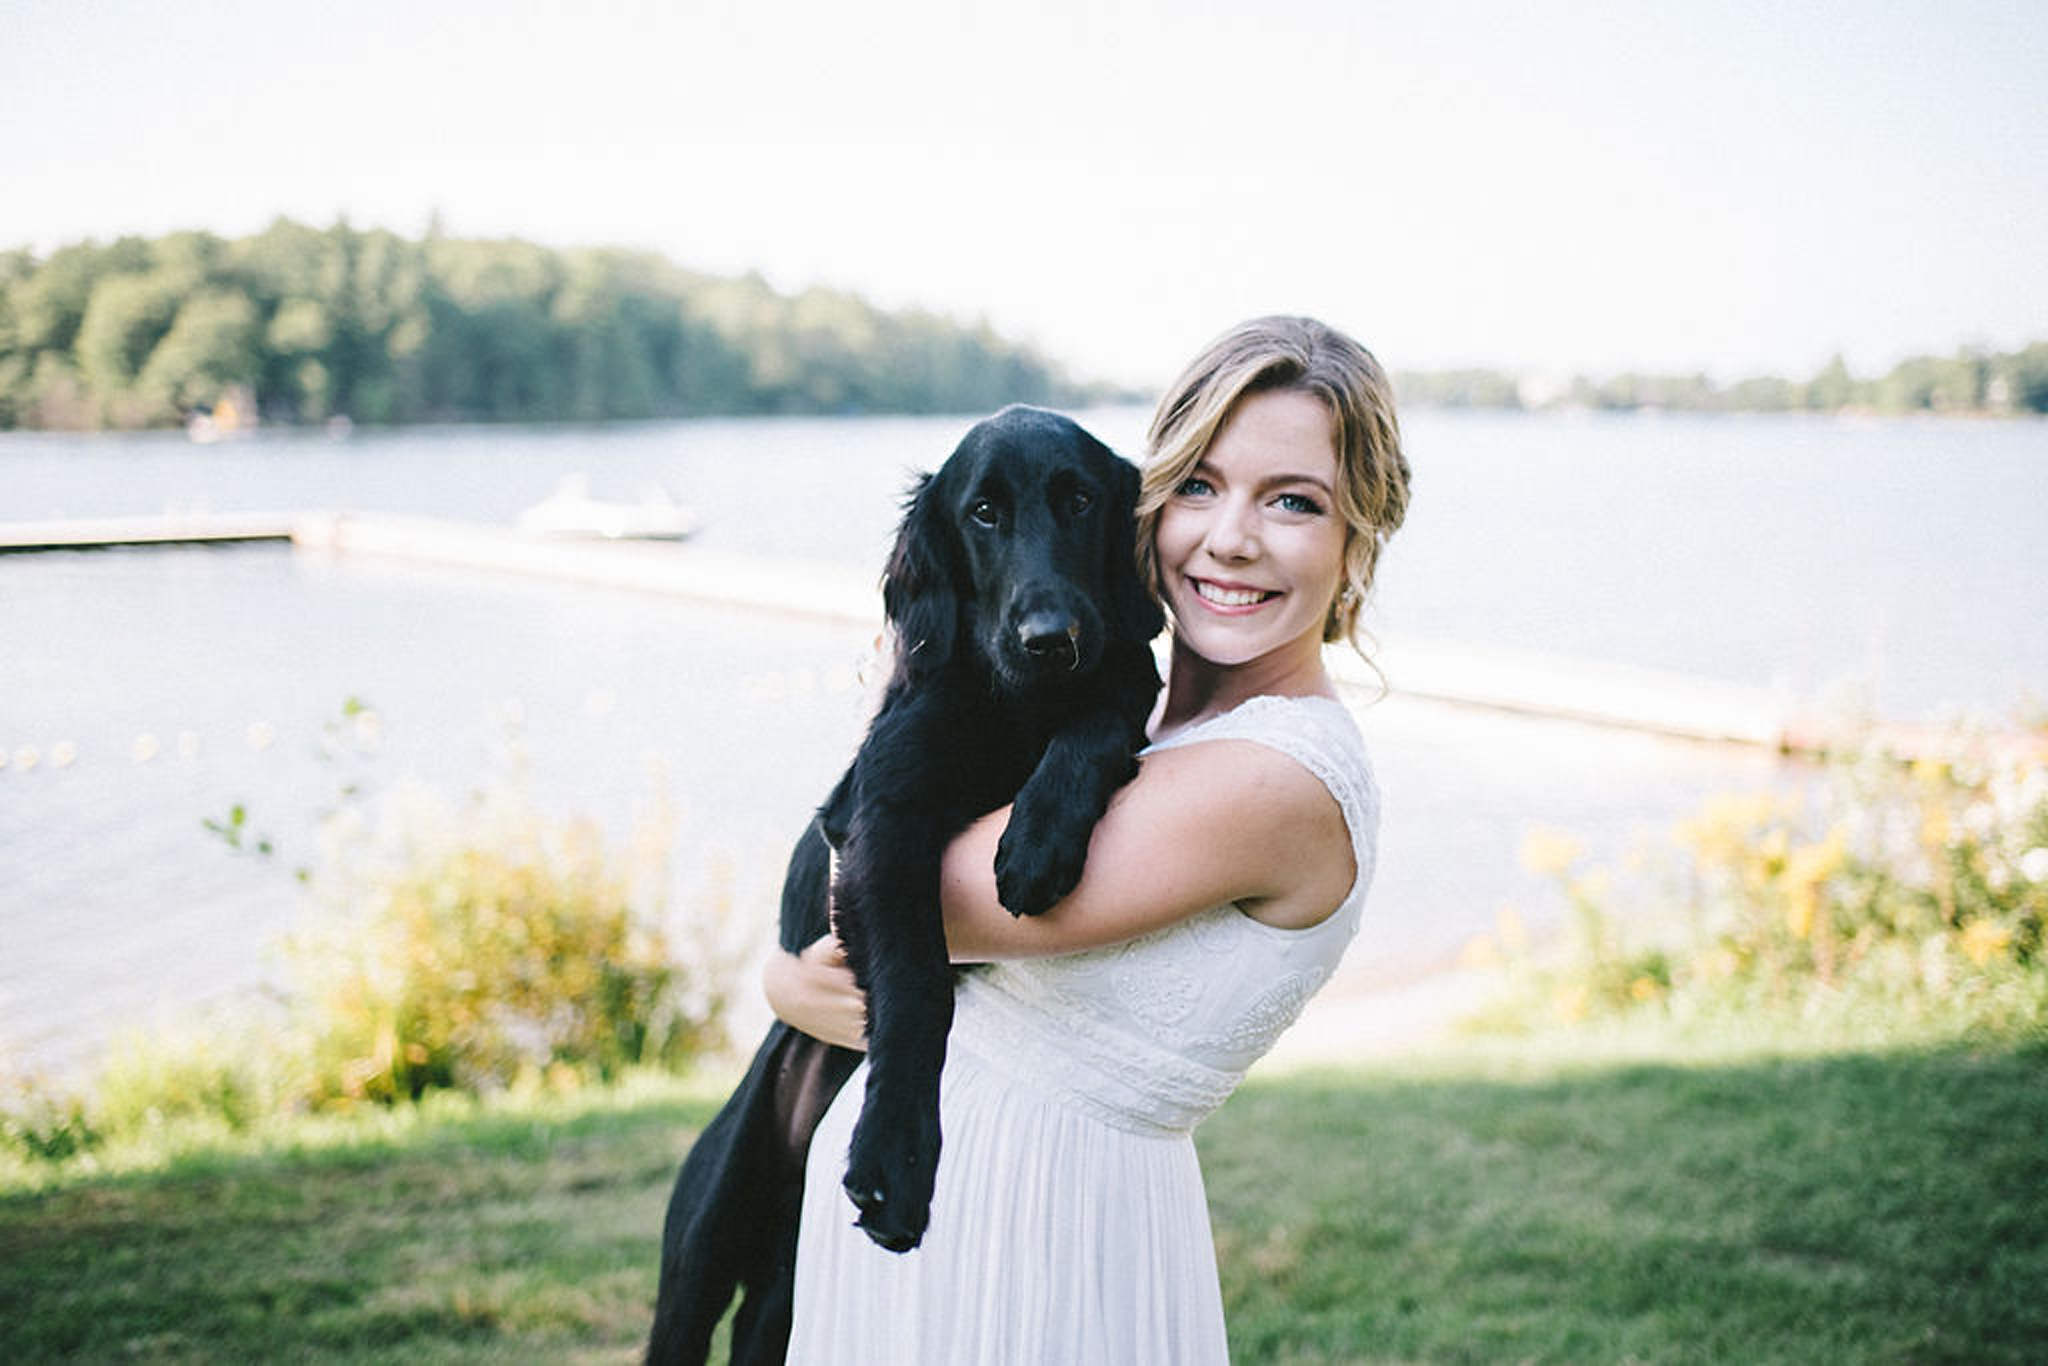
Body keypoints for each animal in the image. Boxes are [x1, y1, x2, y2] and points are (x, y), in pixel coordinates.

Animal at [655, 405, 1171, 1366]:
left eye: (1082, 501)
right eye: (983, 513)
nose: (1051, 640)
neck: (1014, 703)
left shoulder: (1119, 689)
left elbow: (1101, 714)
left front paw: (1040, 833)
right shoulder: (876, 821)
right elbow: (918, 986)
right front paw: (896, 1155)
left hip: (779, 1303)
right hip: (698, 1258)